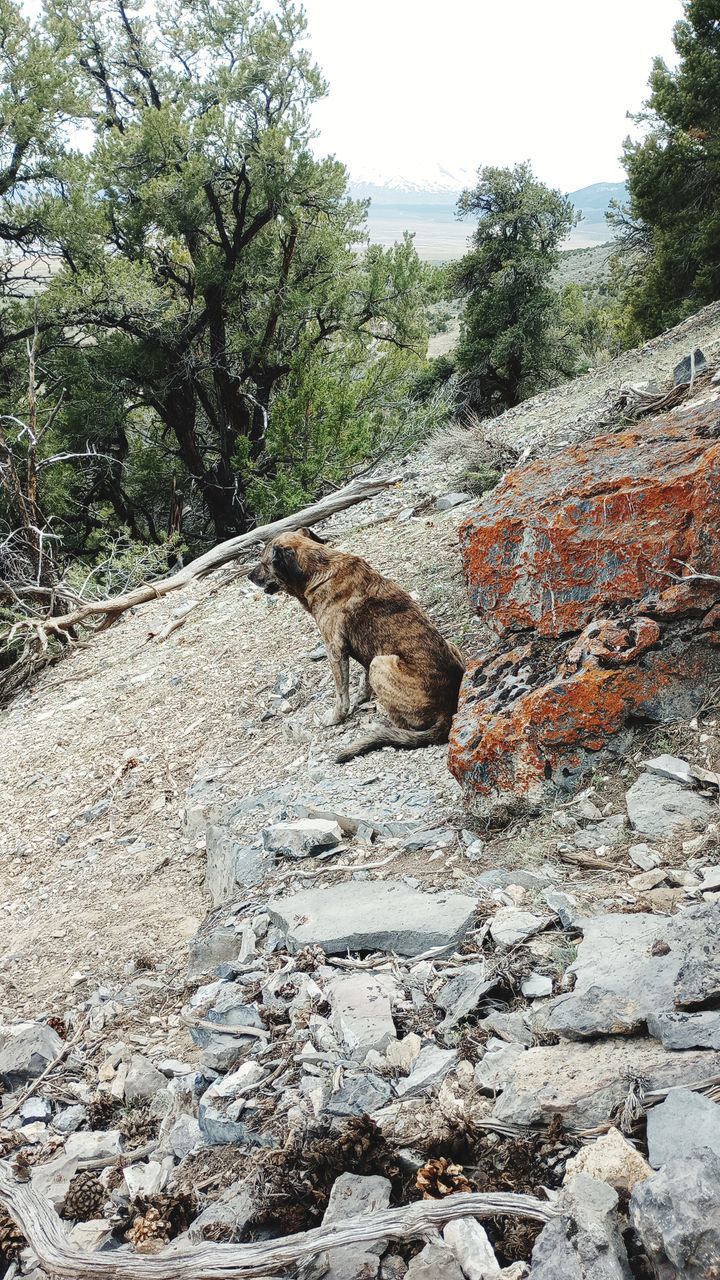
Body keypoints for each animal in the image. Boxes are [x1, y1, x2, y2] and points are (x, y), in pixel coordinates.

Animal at [248, 527, 466, 757]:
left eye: (263, 563)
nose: (248, 576)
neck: (319, 568)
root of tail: (448, 711)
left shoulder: (334, 650)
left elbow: (341, 694)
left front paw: (335, 718)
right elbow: (362, 680)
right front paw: (361, 697)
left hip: (380, 663)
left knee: (404, 726)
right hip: (446, 647)